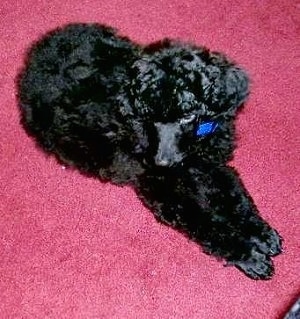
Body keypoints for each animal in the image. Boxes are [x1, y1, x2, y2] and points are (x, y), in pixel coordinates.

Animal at [17, 23, 282, 282]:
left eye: (187, 116)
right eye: (150, 117)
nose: (162, 162)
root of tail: (37, 52)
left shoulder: (212, 163)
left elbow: (235, 196)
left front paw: (260, 233)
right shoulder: (159, 186)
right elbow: (203, 221)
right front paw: (248, 254)